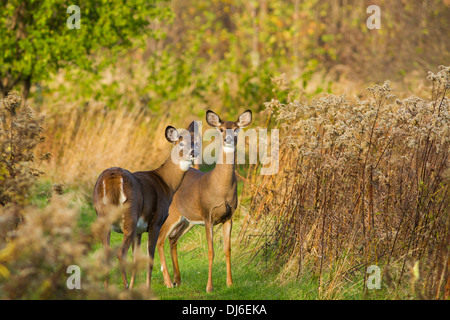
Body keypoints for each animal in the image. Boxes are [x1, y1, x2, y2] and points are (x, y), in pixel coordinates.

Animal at [93, 121, 199, 288]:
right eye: (181, 143)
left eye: (196, 141)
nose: (193, 152)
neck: (167, 183)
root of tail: (113, 178)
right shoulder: (156, 222)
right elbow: (149, 258)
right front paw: (147, 287)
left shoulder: (139, 230)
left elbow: (136, 258)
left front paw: (134, 286)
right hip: (130, 215)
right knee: (120, 253)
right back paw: (124, 286)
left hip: (103, 216)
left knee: (106, 252)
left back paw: (107, 287)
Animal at [156, 109, 251, 292]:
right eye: (221, 129)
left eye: (236, 128)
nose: (229, 139)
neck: (220, 188)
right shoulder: (208, 216)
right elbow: (211, 252)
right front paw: (209, 287)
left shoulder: (229, 217)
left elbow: (228, 250)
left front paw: (230, 283)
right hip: (172, 214)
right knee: (160, 240)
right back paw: (168, 282)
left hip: (187, 220)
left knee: (173, 239)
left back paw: (178, 279)